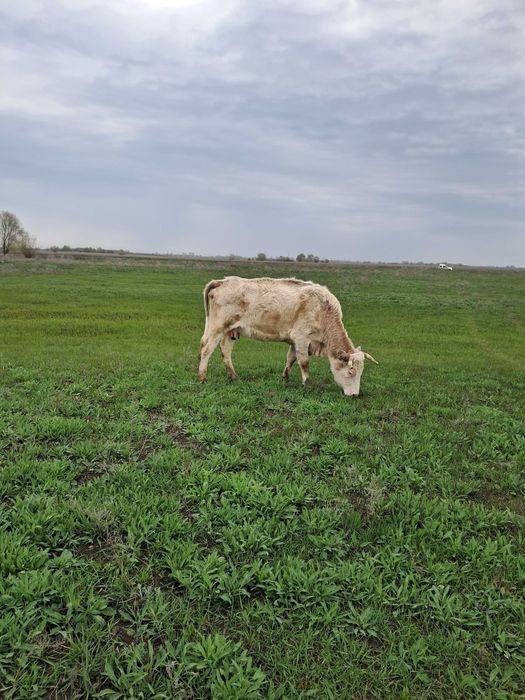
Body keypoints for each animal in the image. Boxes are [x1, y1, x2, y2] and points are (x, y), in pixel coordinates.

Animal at [197, 276, 378, 396]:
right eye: (351, 372)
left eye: (361, 372)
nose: (355, 395)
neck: (323, 309)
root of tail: (222, 281)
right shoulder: (302, 338)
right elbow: (304, 362)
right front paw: (307, 385)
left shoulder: (294, 341)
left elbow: (290, 358)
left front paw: (286, 378)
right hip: (217, 328)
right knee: (206, 349)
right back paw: (202, 377)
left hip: (230, 331)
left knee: (225, 351)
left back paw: (233, 376)